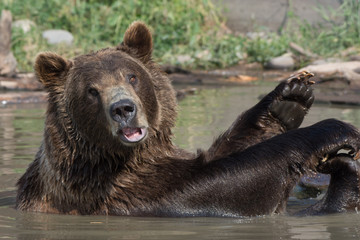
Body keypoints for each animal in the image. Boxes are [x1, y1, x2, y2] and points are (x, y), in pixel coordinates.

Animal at [15, 21, 360, 217]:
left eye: (131, 76)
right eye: (92, 90)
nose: (123, 109)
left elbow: (224, 151)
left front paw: (290, 96)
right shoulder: (123, 191)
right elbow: (231, 183)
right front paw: (334, 131)